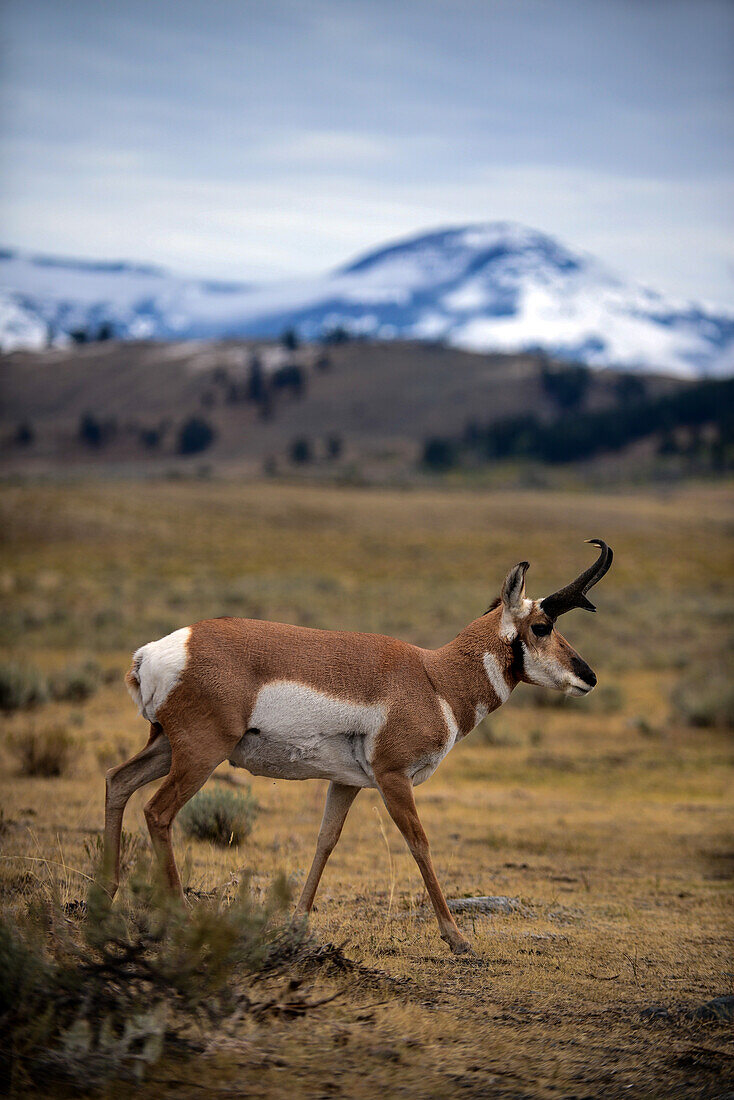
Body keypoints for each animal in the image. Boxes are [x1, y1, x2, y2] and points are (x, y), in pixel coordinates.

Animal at [107, 539, 616, 954]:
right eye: (542, 625)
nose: (589, 677)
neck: (433, 677)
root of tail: (155, 652)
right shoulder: (393, 779)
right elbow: (419, 843)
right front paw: (456, 938)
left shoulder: (345, 783)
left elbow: (325, 841)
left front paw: (297, 925)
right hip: (200, 755)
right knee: (156, 811)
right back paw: (177, 916)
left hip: (167, 748)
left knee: (117, 782)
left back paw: (105, 895)